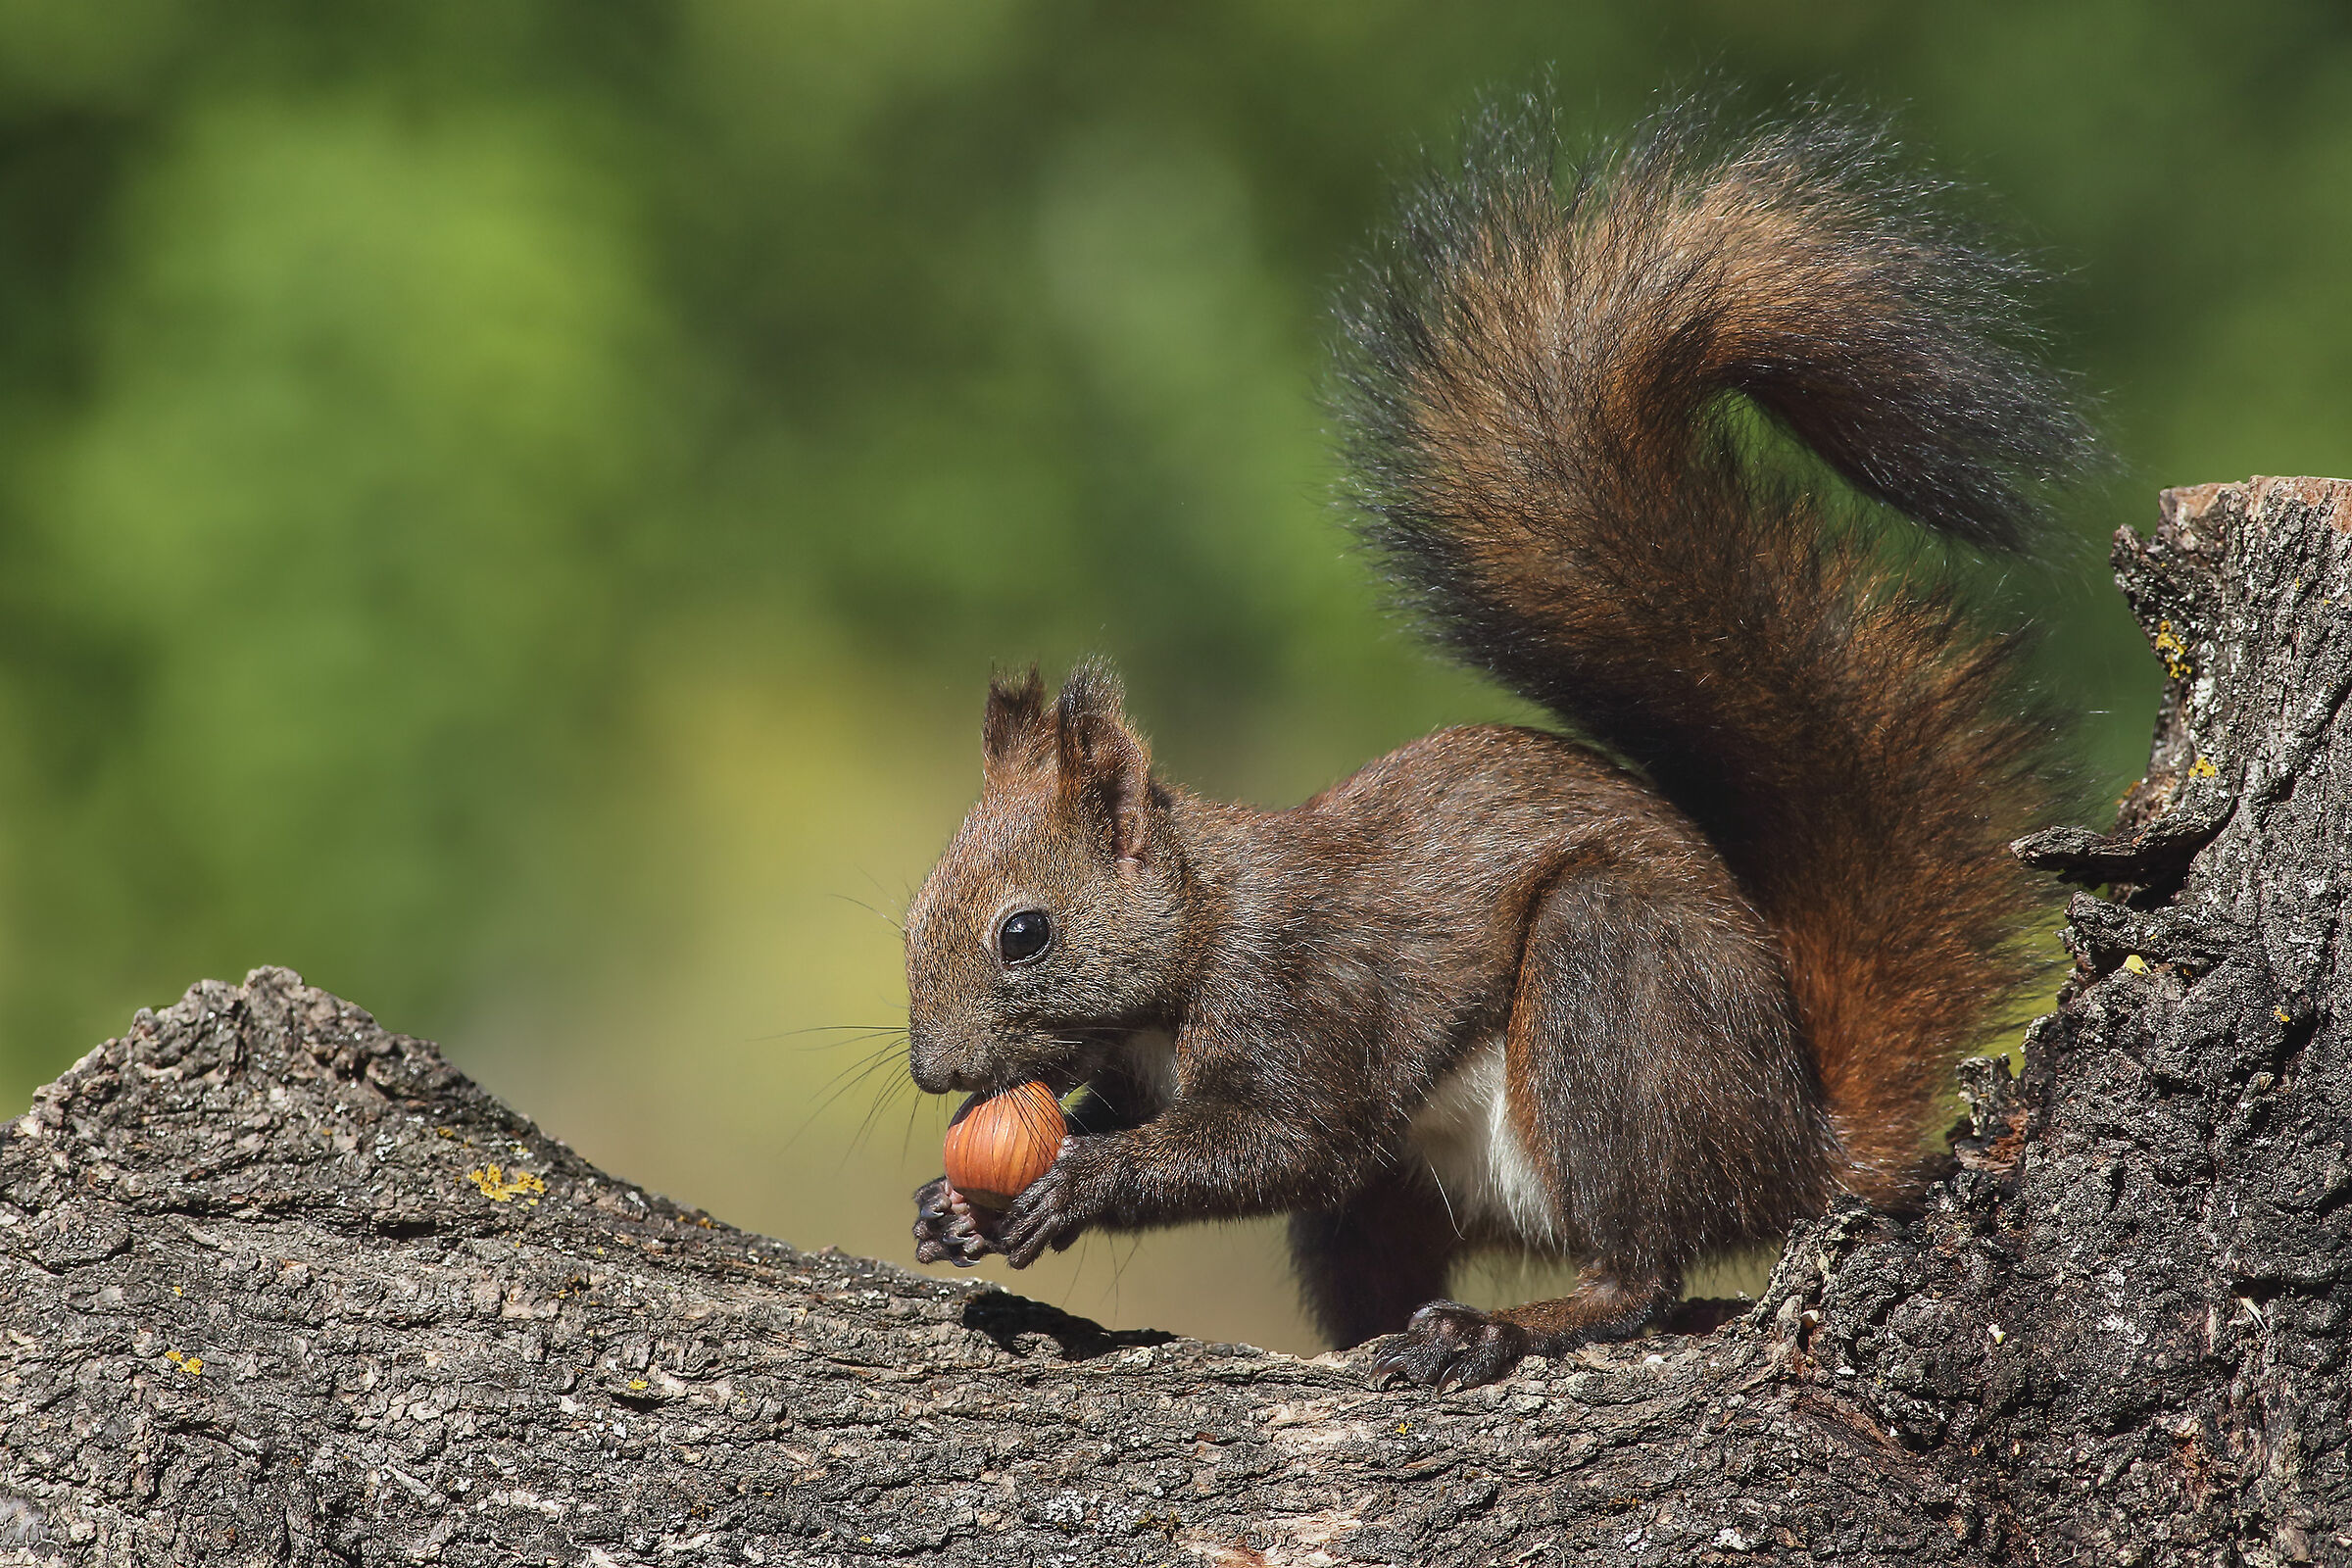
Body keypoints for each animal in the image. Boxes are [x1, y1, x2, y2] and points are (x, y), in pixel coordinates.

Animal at [903, 94, 2095, 1390]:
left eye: (1025, 933)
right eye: (912, 913)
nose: (931, 1073)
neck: (1197, 932)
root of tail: (1800, 1144)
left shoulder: (1303, 989)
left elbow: (1286, 1137)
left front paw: (1082, 1181)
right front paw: (954, 1209)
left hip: (1615, 998)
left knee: (1639, 1271)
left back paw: (1503, 1326)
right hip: (1395, 1198)